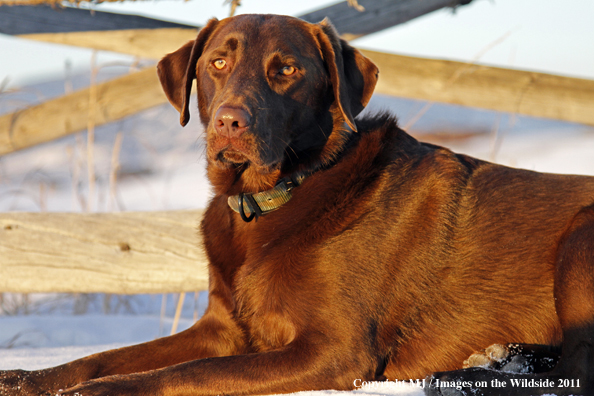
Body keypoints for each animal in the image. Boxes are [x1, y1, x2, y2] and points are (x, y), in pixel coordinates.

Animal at [1, 13, 592, 396]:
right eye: (218, 62)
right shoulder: (220, 327)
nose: (230, 122)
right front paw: (27, 379)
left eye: (286, 70)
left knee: (580, 371)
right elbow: (103, 356)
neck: (270, 199)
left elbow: (184, 374)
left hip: (580, 243)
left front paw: (100, 392)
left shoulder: (334, 350)